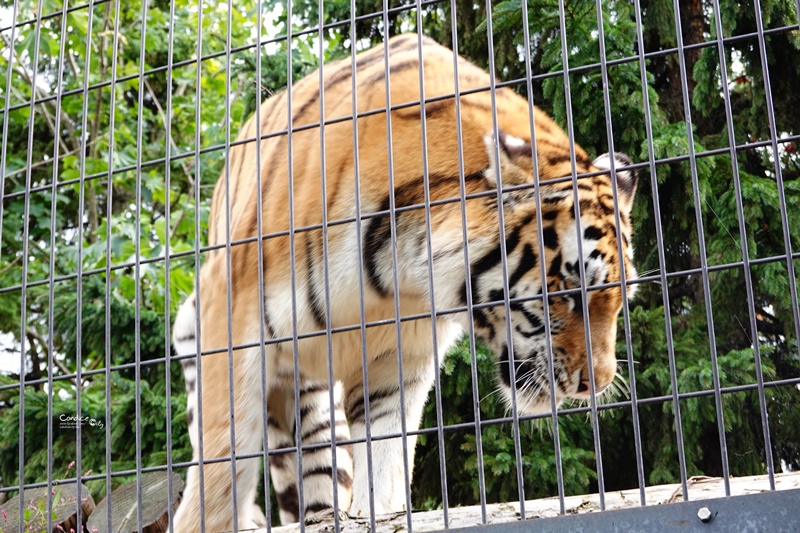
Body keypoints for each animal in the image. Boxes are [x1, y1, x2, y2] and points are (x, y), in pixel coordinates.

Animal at [170, 34, 636, 532]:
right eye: (567, 293)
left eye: (619, 301)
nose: (597, 385)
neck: (402, 276)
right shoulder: (231, 317)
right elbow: (223, 458)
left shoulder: (397, 358)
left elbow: (385, 460)